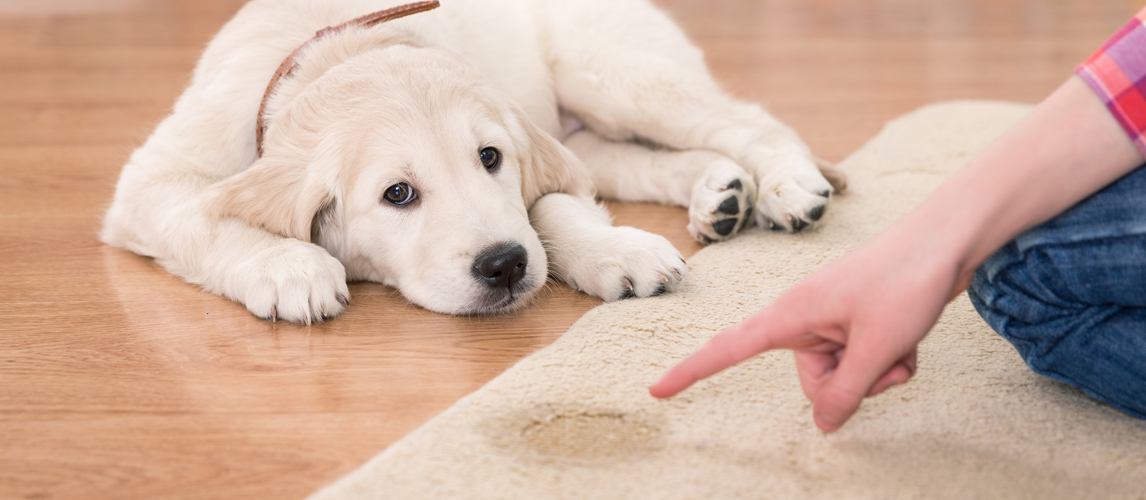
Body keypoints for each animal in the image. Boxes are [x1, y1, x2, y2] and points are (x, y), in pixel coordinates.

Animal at [100, 0, 843, 323]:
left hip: (611, 73)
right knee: (646, 159)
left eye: (490, 158)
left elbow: (552, 208)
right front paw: (289, 268)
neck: (334, 50)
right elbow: (203, 217)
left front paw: (616, 252)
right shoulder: (151, 183)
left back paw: (787, 186)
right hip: (590, 122)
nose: (504, 266)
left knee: (747, 120)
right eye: (398, 194)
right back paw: (721, 194)